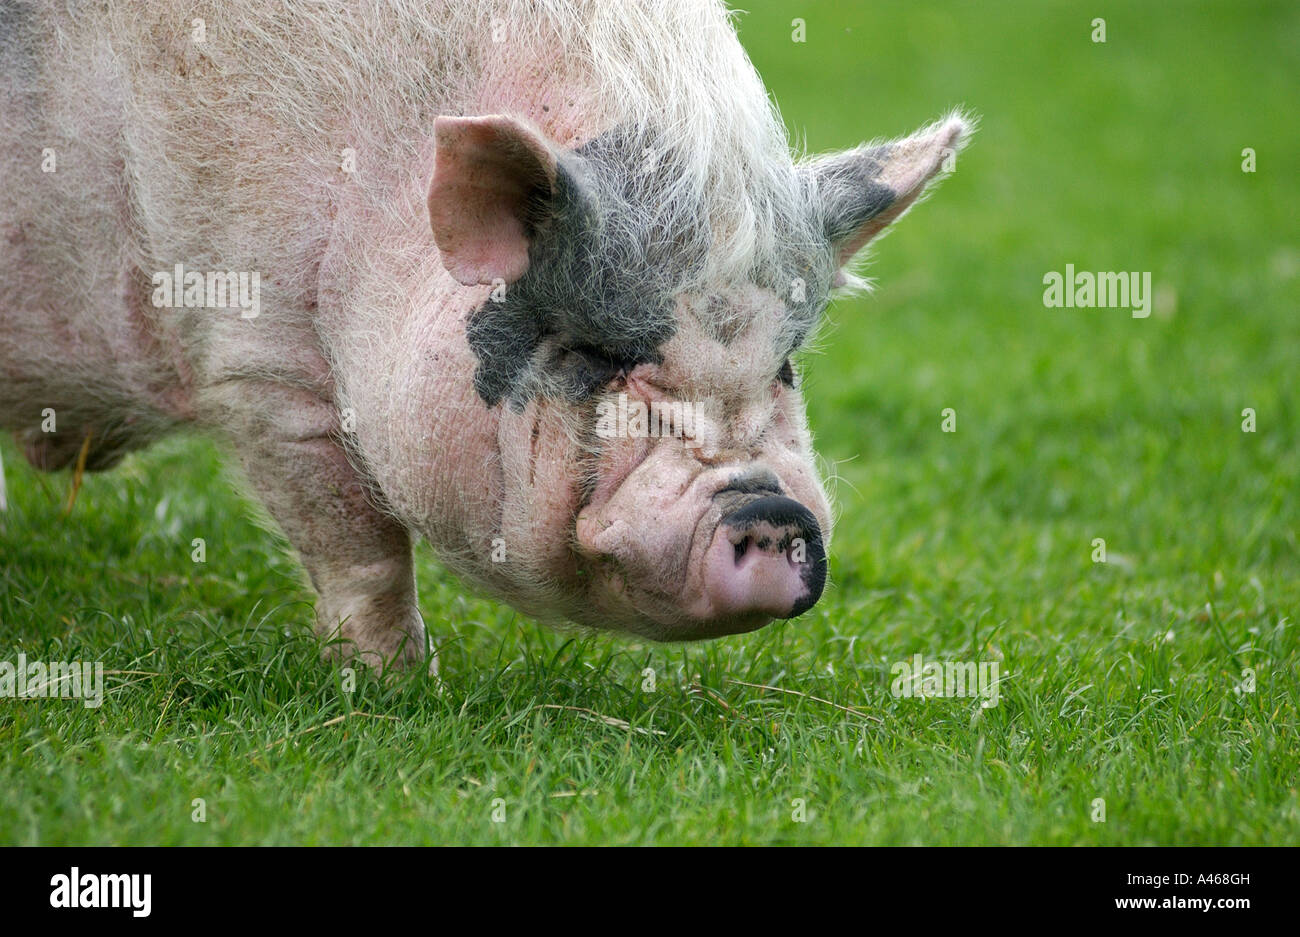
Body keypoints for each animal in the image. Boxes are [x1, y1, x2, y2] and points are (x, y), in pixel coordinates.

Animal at [0, 3, 972, 670]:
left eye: (786, 367)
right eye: (599, 354)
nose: (769, 510)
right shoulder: (258, 361)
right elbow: (359, 548)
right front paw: (396, 683)